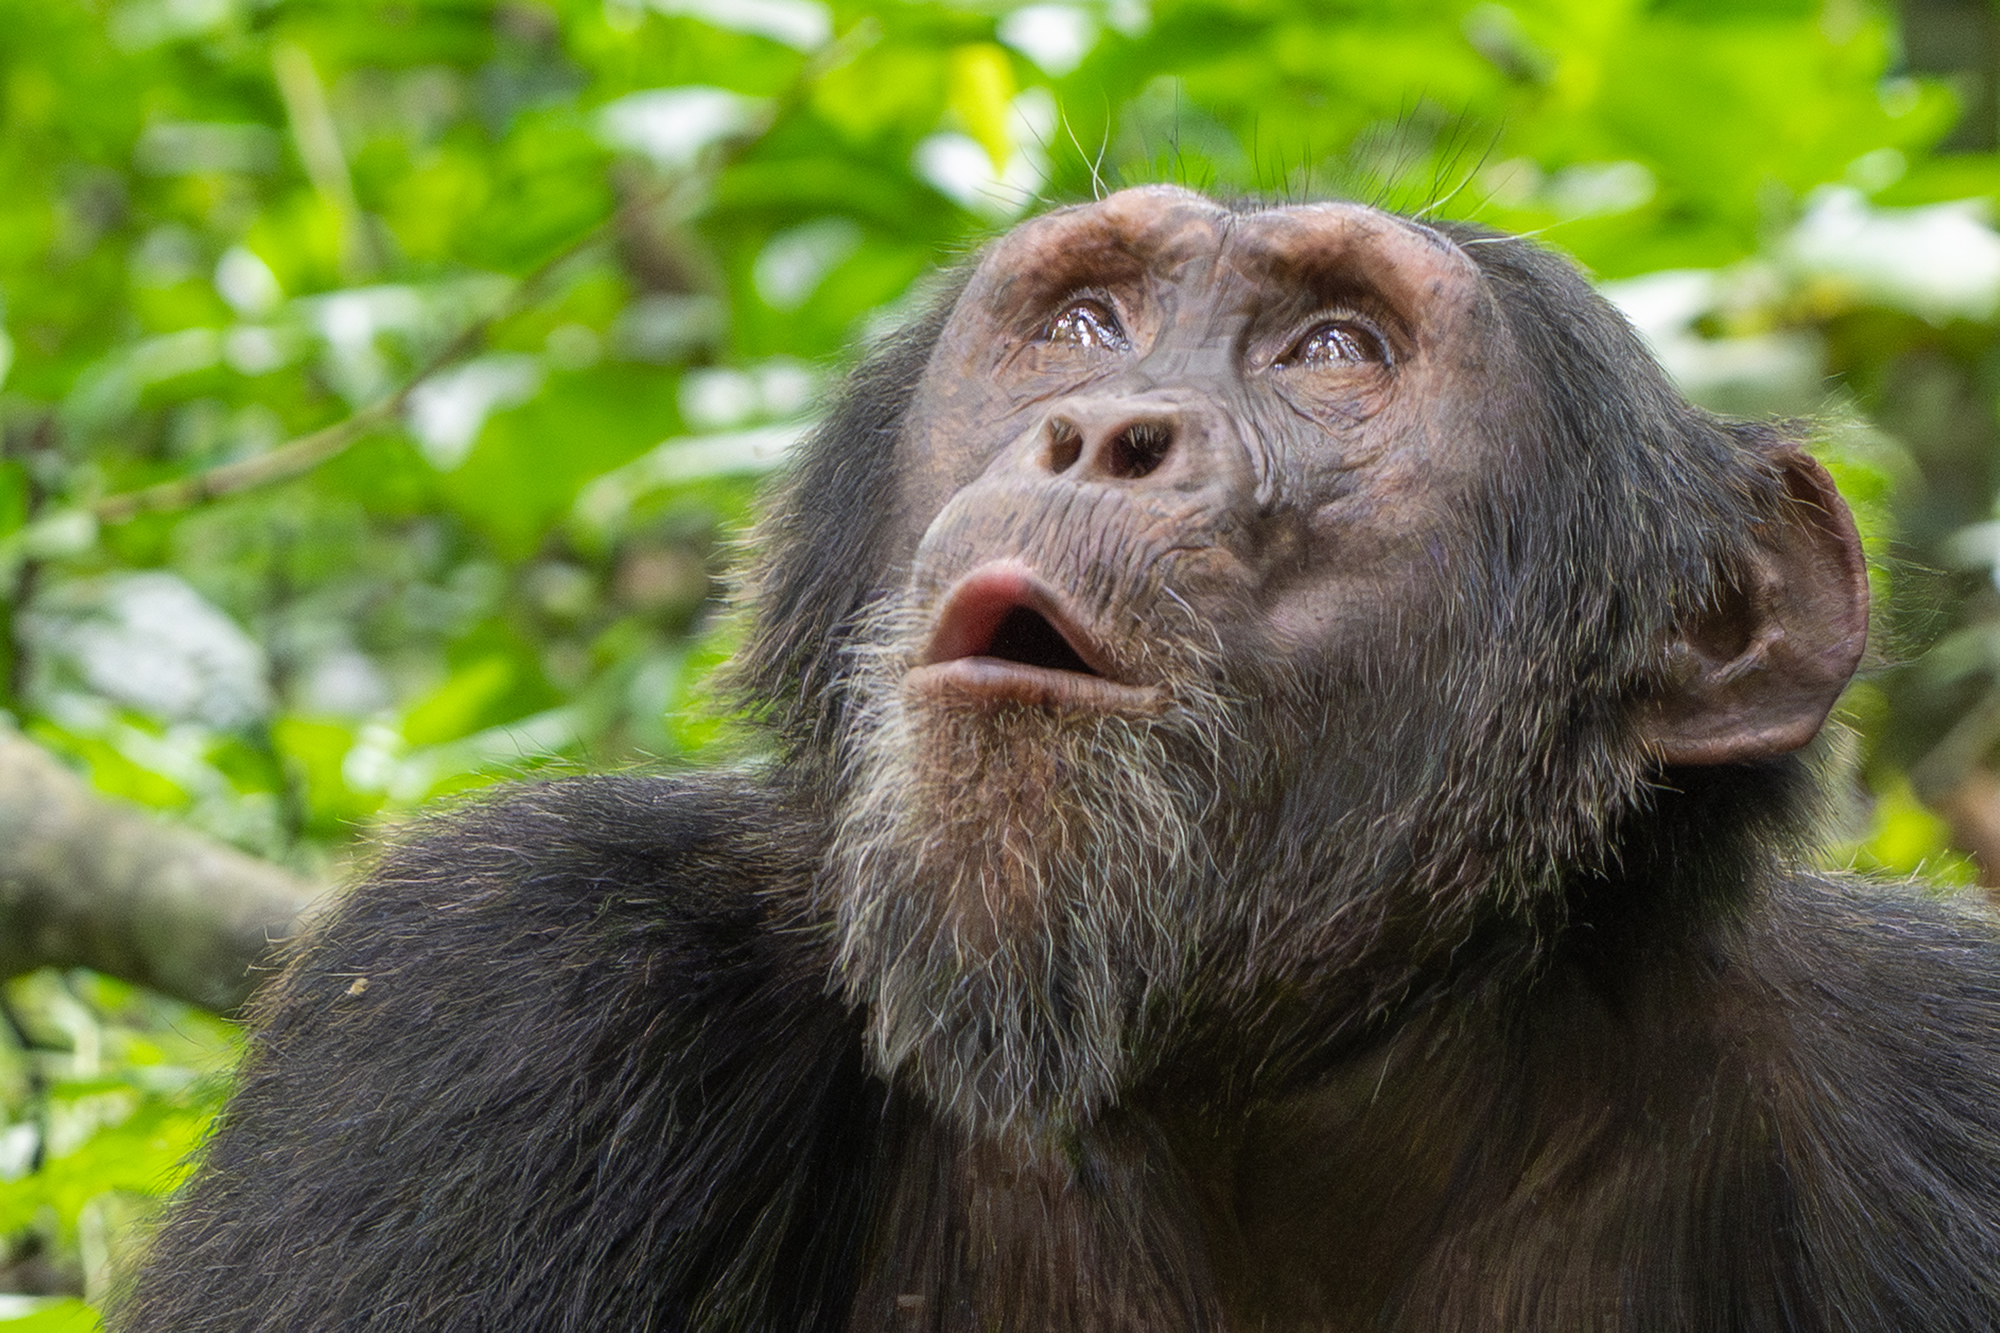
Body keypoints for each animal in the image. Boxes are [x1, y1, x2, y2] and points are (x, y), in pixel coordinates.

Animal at [114, 186, 2000, 1331]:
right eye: (1087, 321)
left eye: (1333, 351)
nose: (1104, 433)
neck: (1252, 1088)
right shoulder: (491, 982)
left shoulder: (1939, 1072)